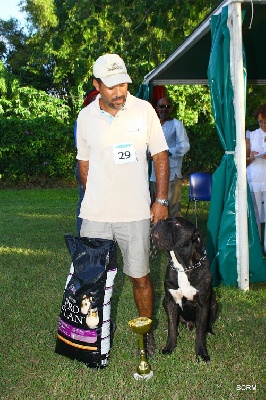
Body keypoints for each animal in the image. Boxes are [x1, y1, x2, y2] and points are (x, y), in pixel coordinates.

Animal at [152, 219, 218, 362]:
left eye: (177, 224)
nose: (159, 221)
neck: (182, 267)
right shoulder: (170, 302)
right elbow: (172, 327)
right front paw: (169, 347)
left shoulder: (203, 305)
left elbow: (200, 333)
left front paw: (202, 354)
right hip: (165, 302)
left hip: (214, 304)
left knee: (208, 324)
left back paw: (209, 331)